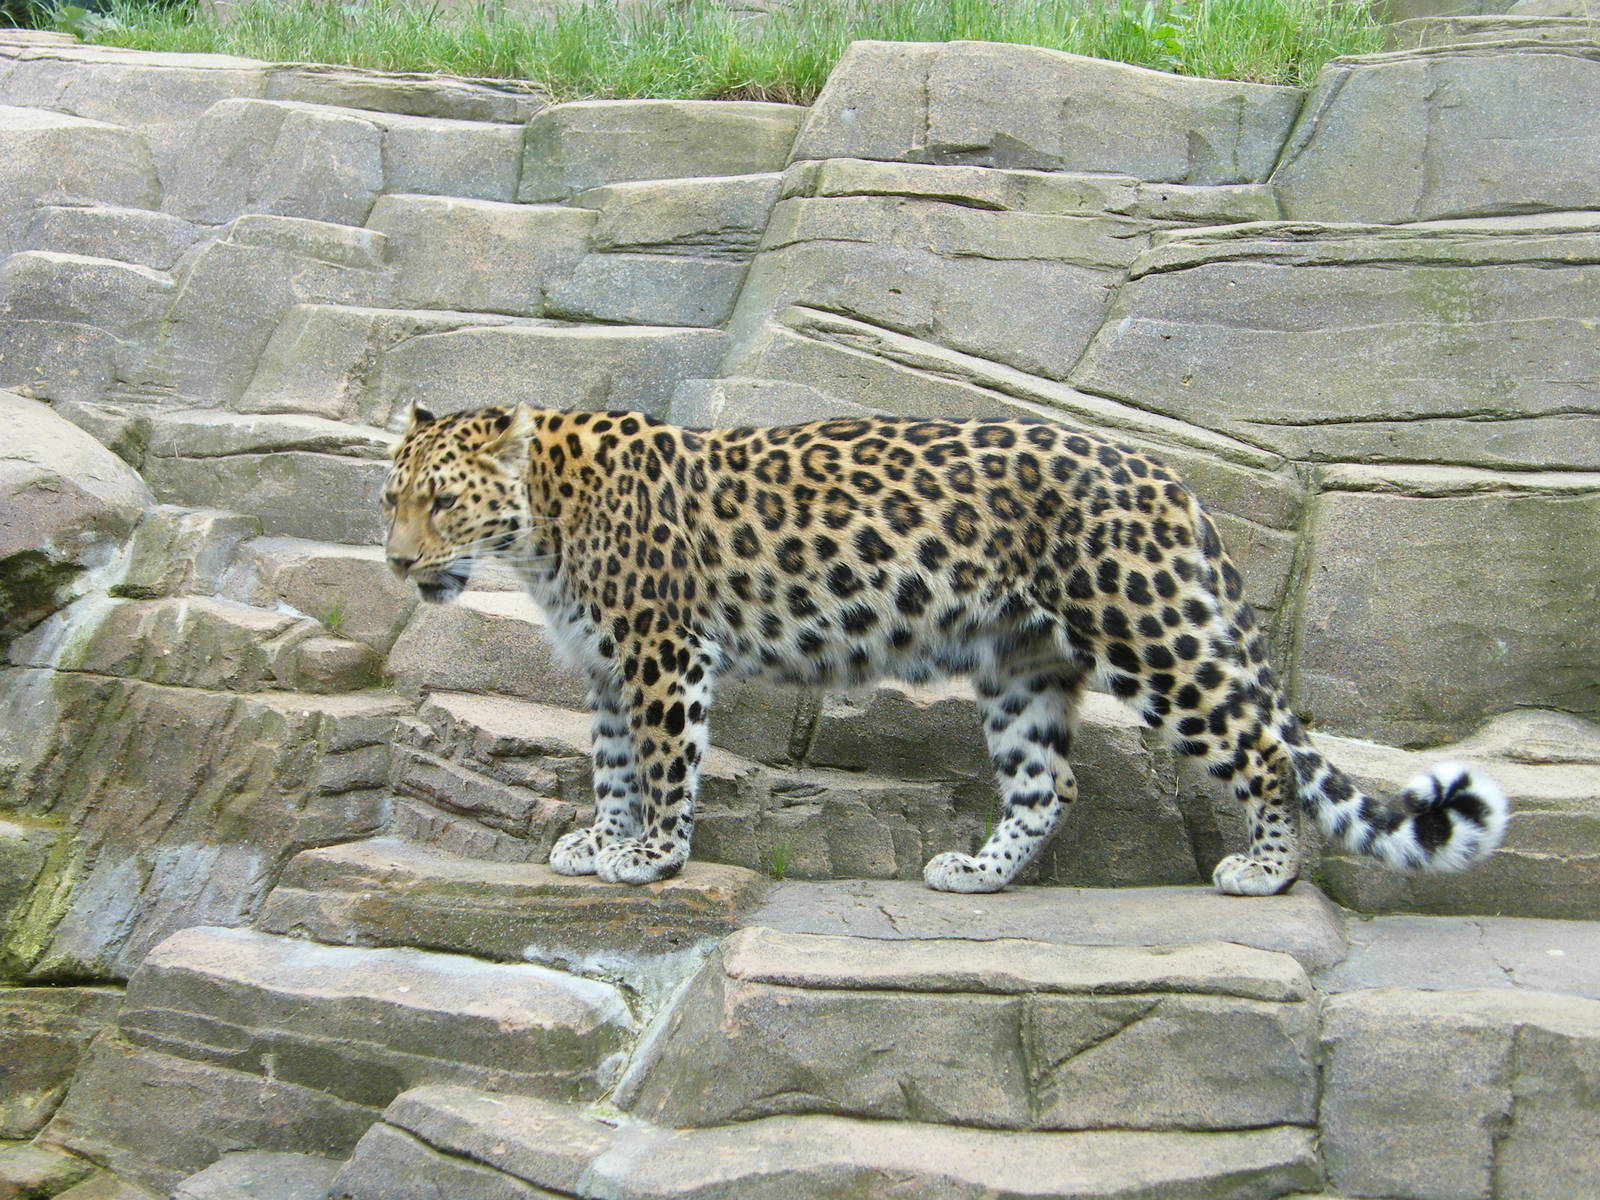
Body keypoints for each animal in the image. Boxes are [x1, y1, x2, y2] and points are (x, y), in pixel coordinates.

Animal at [382, 403, 1509, 895]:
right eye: (390, 499)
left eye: (440, 500)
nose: (396, 562)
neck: (540, 523)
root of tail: (1166, 476)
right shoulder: (611, 665)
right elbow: (613, 764)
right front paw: (603, 841)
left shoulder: (661, 651)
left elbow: (662, 764)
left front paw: (651, 855)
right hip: (1021, 664)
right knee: (1049, 784)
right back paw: (978, 872)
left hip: (1150, 634)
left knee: (1264, 749)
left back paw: (1265, 871)